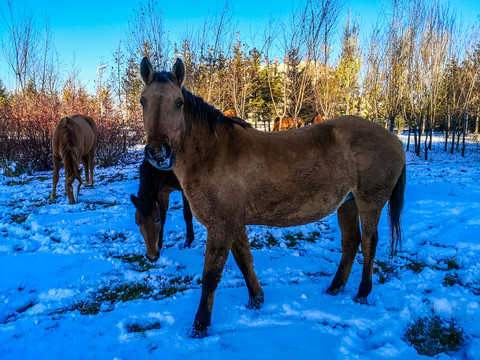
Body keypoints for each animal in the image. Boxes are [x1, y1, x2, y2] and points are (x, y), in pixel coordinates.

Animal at [138, 58, 404, 338]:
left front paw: (200, 325)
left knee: (369, 242)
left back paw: (362, 293)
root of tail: (394, 139)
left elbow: (211, 275)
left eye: (178, 102)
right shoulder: (234, 223)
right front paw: (256, 300)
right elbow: (244, 261)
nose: (158, 153)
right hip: (348, 204)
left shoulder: (221, 226)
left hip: (369, 203)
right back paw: (335, 288)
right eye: (143, 101)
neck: (212, 154)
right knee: (351, 242)